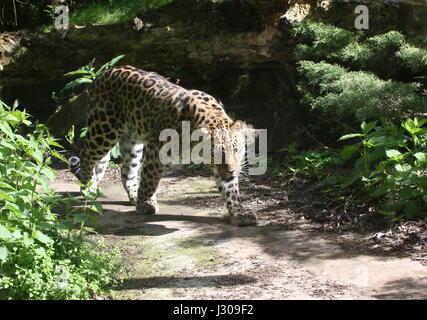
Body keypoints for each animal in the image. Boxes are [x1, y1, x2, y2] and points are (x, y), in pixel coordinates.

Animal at [68, 64, 260, 225]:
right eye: (215, 152)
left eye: (236, 150)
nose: (232, 170)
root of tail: (103, 73)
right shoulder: (156, 151)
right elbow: (149, 179)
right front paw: (145, 204)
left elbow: (231, 189)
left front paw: (239, 212)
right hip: (104, 129)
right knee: (86, 154)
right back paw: (89, 188)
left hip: (132, 141)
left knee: (126, 170)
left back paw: (132, 195)